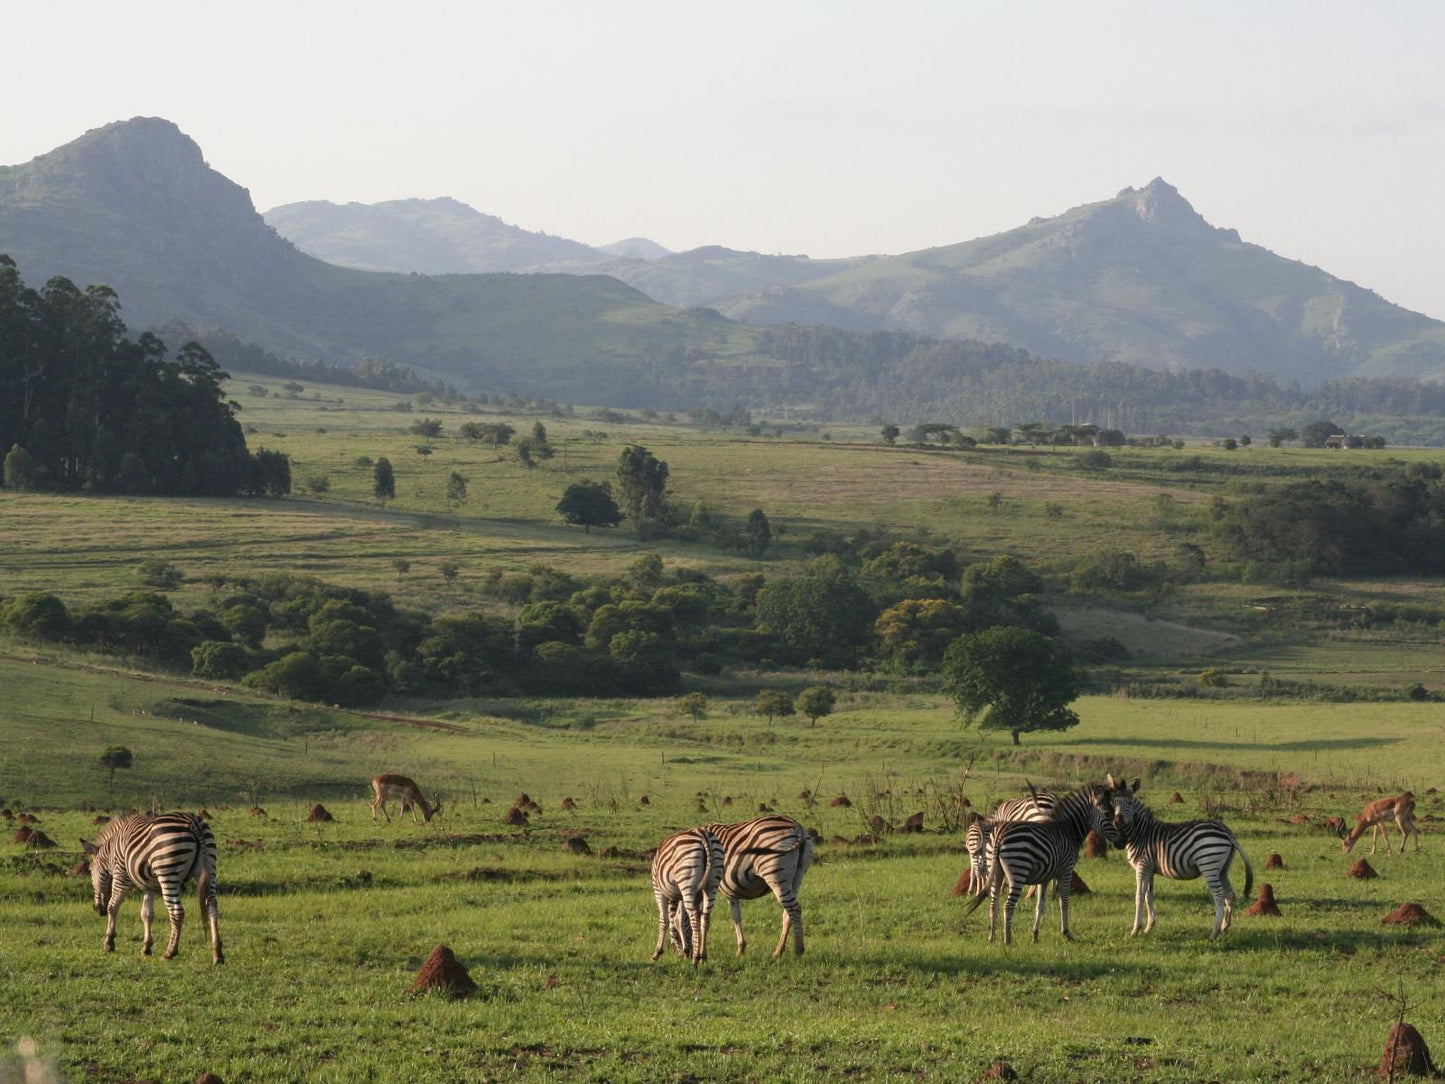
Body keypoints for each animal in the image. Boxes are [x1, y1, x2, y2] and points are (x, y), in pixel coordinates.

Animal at [80, 815, 222, 965]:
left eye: (90, 871)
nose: (96, 909)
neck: (111, 853)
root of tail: (192, 821)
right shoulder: (149, 887)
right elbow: (147, 914)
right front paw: (146, 947)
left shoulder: (121, 876)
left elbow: (112, 907)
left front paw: (109, 942)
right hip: (210, 867)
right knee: (212, 906)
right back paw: (217, 954)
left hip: (168, 872)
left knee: (177, 912)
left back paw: (170, 952)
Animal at [653, 832, 728, 965]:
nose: (686, 954)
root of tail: (703, 834)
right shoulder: (679, 896)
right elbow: (679, 919)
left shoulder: (659, 890)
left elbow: (665, 921)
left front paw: (657, 952)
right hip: (712, 884)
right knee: (705, 918)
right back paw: (703, 956)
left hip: (687, 880)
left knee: (694, 917)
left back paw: (696, 959)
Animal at [702, 815, 814, 959]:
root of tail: (796, 825)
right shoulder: (730, 892)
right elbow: (736, 917)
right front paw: (741, 948)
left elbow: (701, 918)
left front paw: (699, 953)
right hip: (797, 878)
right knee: (788, 913)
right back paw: (778, 951)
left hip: (776, 876)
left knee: (794, 909)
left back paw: (798, 950)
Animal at [965, 786, 1121, 948]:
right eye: (1107, 814)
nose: (1122, 842)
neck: (1068, 829)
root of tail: (1000, 834)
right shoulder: (1066, 870)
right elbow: (1064, 901)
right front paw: (1066, 933)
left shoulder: (1045, 876)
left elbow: (1040, 906)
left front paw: (1035, 935)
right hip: (1018, 872)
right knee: (1008, 906)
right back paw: (1007, 940)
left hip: (996, 871)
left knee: (993, 903)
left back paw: (992, 937)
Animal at [1103, 774, 1254, 942]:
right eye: (1114, 802)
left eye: (1129, 803)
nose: (1117, 822)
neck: (1141, 833)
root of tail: (1227, 831)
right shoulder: (1150, 868)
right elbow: (1149, 896)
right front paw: (1149, 927)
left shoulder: (1142, 866)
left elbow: (1139, 896)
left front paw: (1135, 930)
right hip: (1222, 868)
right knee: (1230, 894)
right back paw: (1224, 926)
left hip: (1209, 865)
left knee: (1219, 896)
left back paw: (1213, 933)